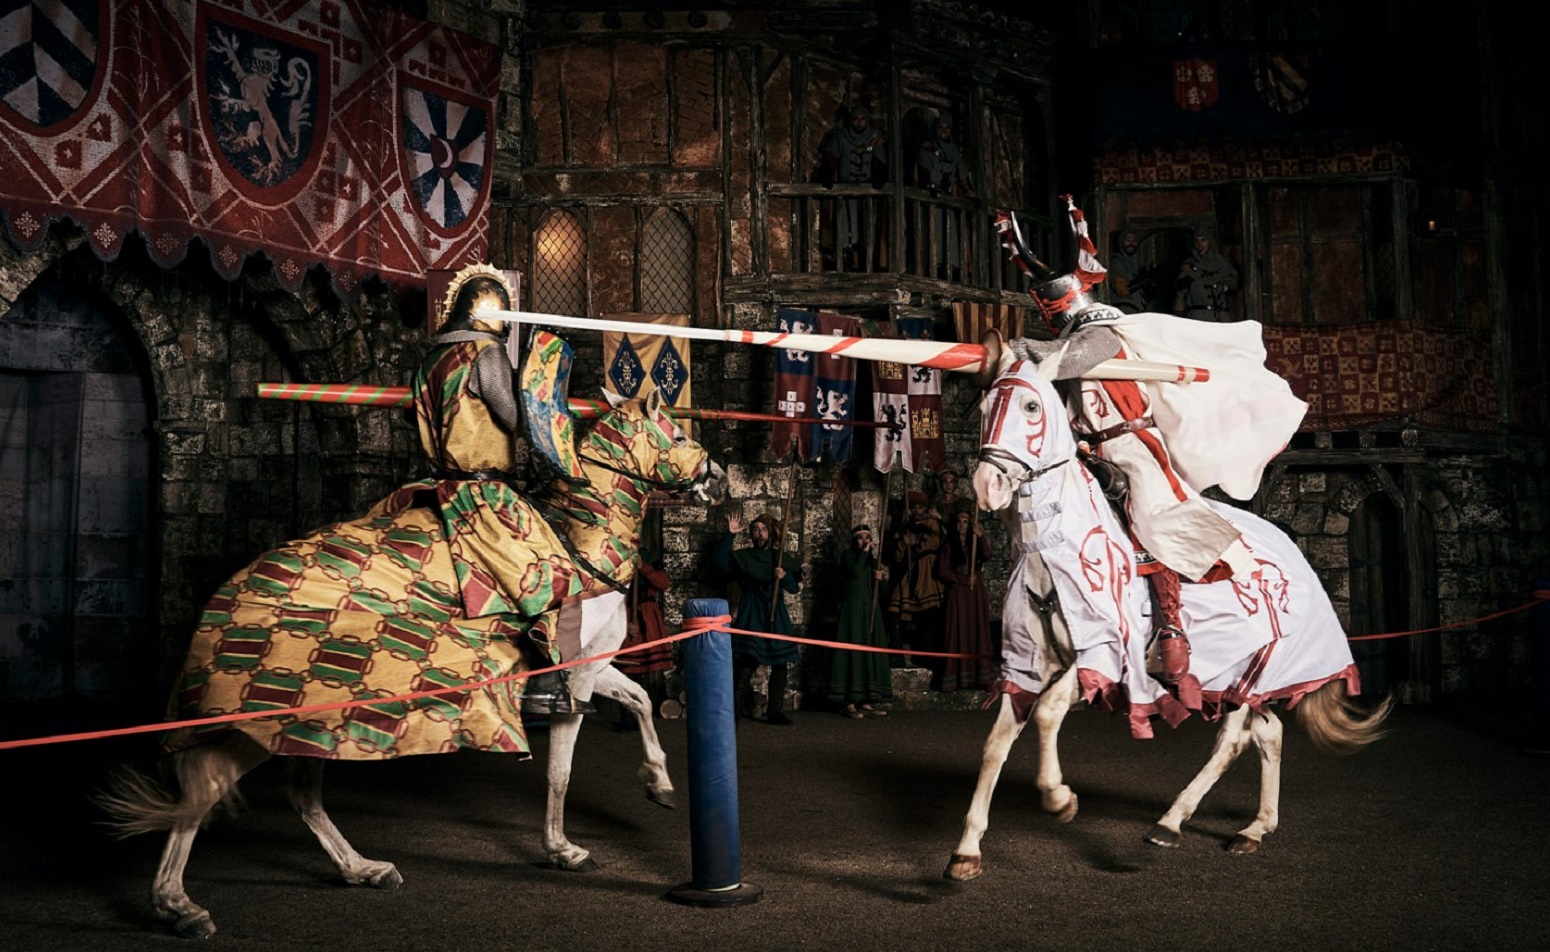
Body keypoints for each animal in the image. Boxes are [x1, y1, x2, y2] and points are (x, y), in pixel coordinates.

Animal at [103, 393, 719, 942]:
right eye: (678, 433)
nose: (713, 475)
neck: (581, 543)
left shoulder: (595, 668)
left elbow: (641, 701)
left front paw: (659, 784)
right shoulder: (576, 676)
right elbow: (561, 773)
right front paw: (563, 850)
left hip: (310, 722)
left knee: (299, 794)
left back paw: (361, 869)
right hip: (259, 721)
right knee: (204, 791)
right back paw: (180, 907)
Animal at [942, 348, 1395, 880]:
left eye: (1032, 407)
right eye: (985, 407)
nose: (988, 484)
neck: (1047, 549)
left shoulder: (1105, 655)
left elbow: (1050, 713)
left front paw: (1058, 797)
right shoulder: (1025, 664)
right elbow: (995, 745)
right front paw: (967, 850)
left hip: (1257, 670)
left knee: (1234, 741)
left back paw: (1172, 822)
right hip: (1243, 678)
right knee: (1268, 733)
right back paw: (1254, 827)